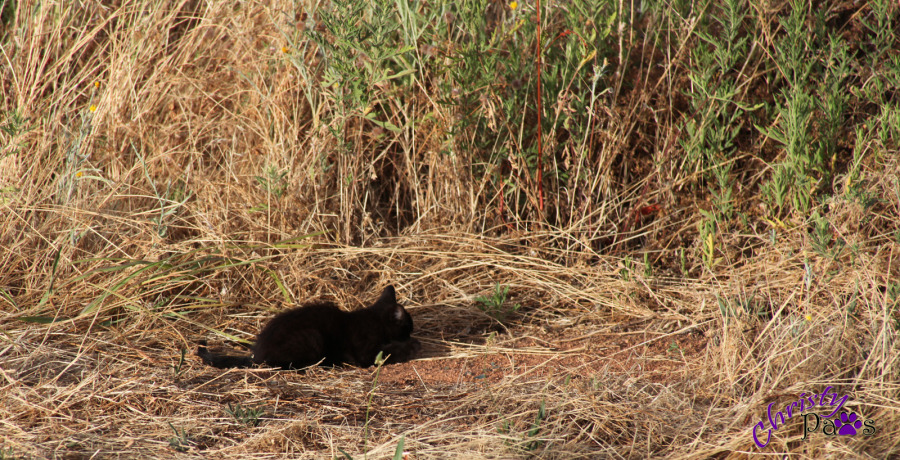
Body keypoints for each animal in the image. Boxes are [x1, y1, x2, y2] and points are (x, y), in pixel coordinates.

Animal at [196, 286, 418, 368]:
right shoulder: (365, 351)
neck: (374, 318)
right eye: (408, 327)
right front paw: (410, 346)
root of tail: (256, 354)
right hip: (312, 337)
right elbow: (386, 353)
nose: (411, 334)